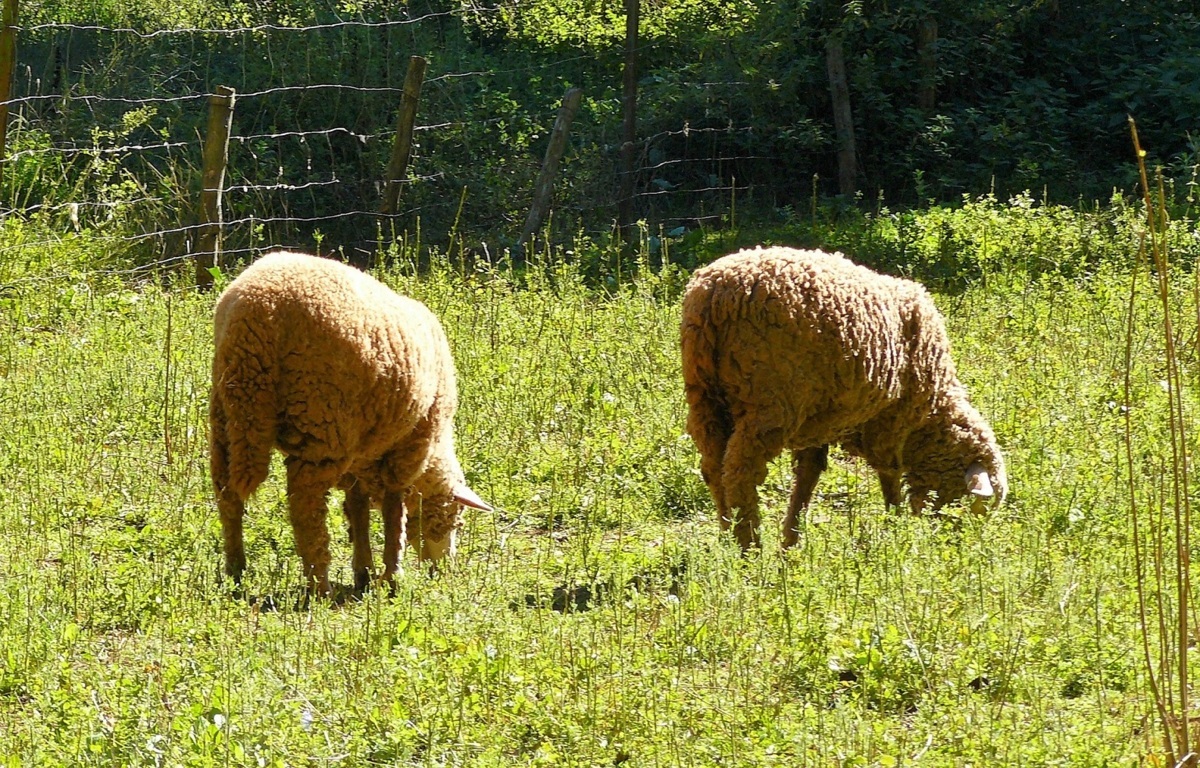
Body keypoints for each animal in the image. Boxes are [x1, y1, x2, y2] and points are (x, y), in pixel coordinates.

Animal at [208, 252, 489, 595]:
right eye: (452, 518)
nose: (443, 570)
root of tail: (255, 313)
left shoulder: (360, 451)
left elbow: (357, 508)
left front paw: (364, 571)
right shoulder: (407, 449)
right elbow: (394, 511)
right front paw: (391, 574)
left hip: (226, 417)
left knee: (227, 495)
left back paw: (236, 571)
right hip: (321, 422)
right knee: (306, 510)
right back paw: (319, 585)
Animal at [681, 244, 1008, 547]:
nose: (954, 543)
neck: (931, 412)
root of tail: (716, 296)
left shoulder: (820, 423)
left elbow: (808, 475)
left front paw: (791, 542)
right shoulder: (891, 422)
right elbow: (889, 476)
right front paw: (895, 527)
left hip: (704, 396)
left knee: (713, 467)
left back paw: (728, 535)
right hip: (771, 403)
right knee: (740, 475)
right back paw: (749, 548)